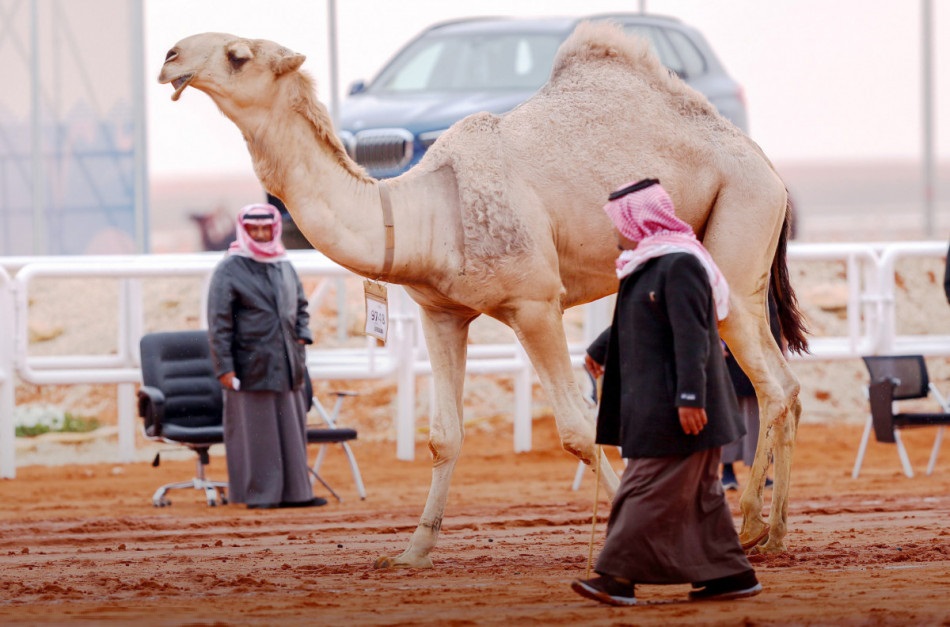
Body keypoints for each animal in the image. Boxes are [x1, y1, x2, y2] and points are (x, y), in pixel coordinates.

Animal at [160, 22, 808, 568]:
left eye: (237, 55)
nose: (169, 57)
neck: (426, 214)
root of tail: (767, 165)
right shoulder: (441, 314)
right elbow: (444, 436)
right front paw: (413, 550)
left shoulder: (536, 304)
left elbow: (577, 429)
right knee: (788, 384)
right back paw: (773, 534)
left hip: (738, 223)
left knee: (772, 386)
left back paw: (750, 526)